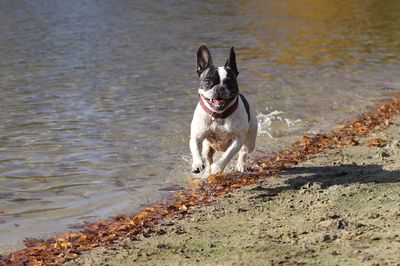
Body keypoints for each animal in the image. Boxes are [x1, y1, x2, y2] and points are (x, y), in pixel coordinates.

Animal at [190, 45, 258, 177]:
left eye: (230, 82)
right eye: (207, 82)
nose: (220, 88)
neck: (218, 115)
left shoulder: (238, 139)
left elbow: (228, 155)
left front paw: (218, 167)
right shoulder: (197, 135)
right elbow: (195, 148)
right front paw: (197, 164)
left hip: (250, 140)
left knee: (243, 152)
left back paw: (240, 166)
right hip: (207, 147)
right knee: (208, 157)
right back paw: (207, 172)